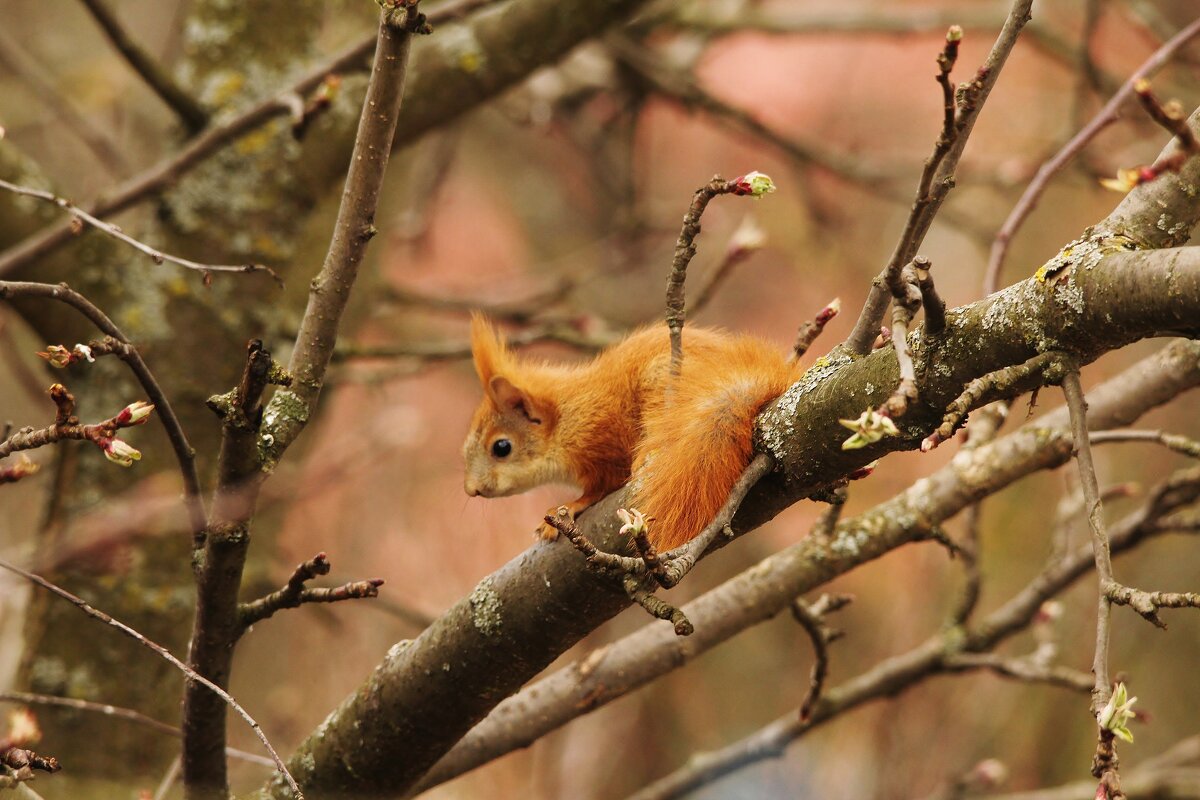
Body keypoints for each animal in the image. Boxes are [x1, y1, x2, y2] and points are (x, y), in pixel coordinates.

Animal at [463, 311, 801, 551]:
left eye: (501, 447)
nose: (471, 490)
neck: (567, 417)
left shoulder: (599, 441)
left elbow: (600, 486)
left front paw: (569, 507)